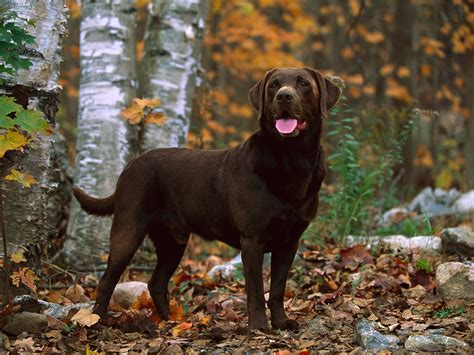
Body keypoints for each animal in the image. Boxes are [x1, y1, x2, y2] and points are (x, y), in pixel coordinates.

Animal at [73, 68, 340, 332]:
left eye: (303, 83)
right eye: (274, 85)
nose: (284, 96)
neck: (291, 159)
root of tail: (129, 165)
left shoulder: (290, 241)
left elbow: (277, 288)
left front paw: (282, 323)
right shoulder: (252, 240)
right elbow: (255, 290)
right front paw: (259, 327)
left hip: (173, 242)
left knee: (156, 283)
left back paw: (170, 321)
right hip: (128, 229)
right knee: (107, 279)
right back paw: (97, 320)